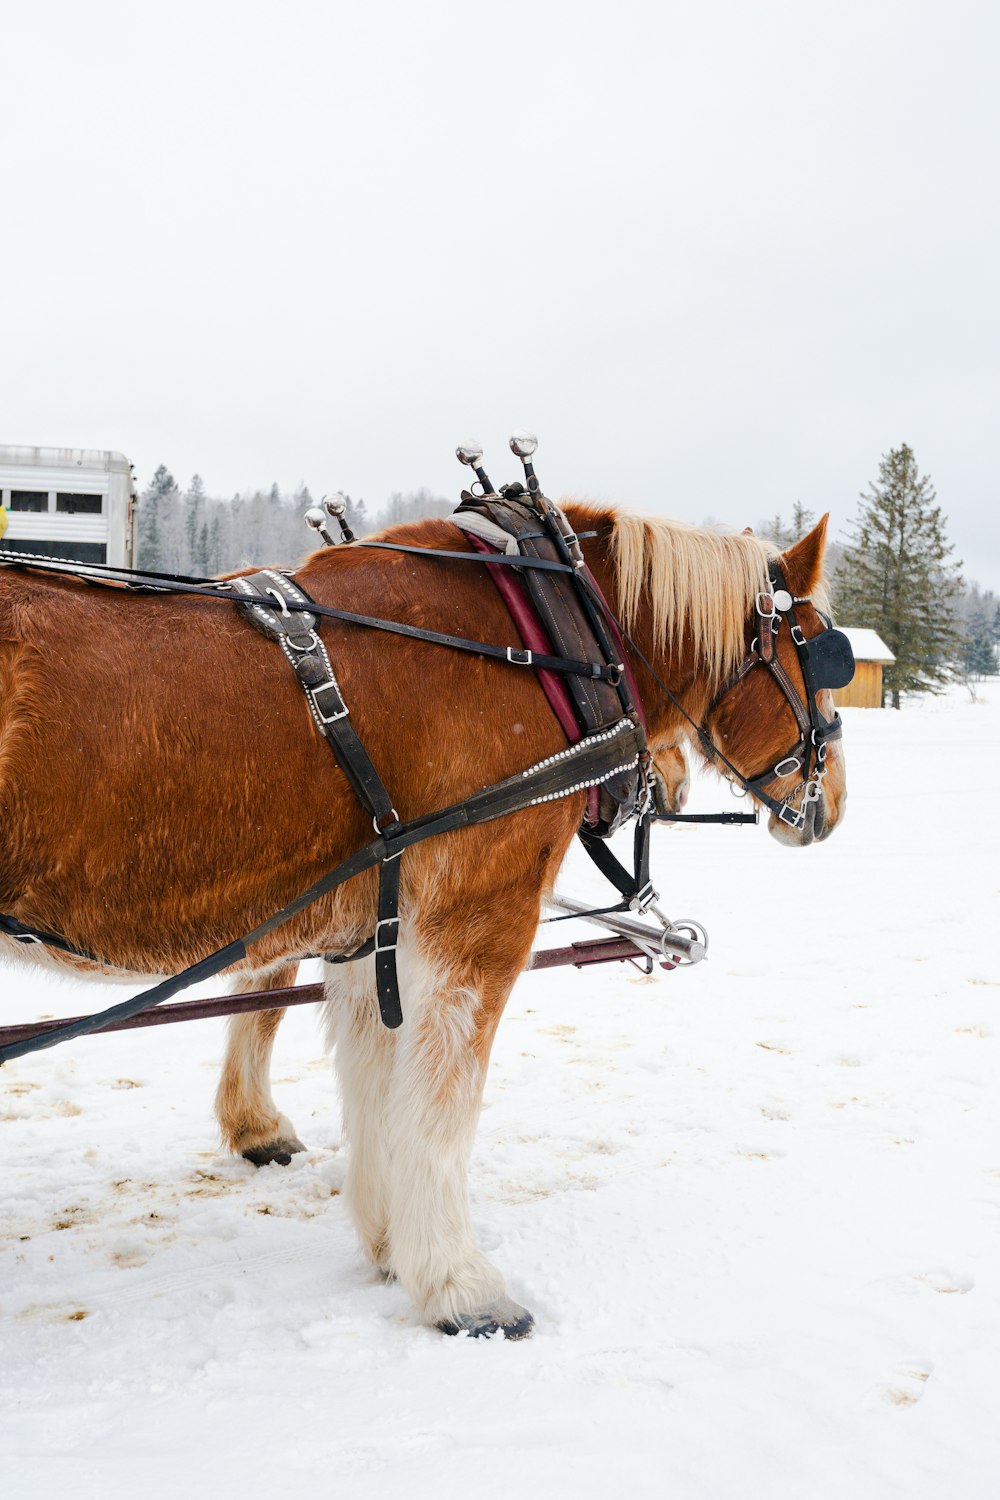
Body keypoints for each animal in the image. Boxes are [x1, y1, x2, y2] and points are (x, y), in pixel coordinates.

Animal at [0, 504, 845, 1338]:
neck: (547, 641)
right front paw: (459, 1286)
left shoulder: (370, 930)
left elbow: (380, 1086)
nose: (831, 804)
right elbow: (443, 1107)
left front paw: (388, 1243)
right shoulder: (478, 922)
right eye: (821, 650)